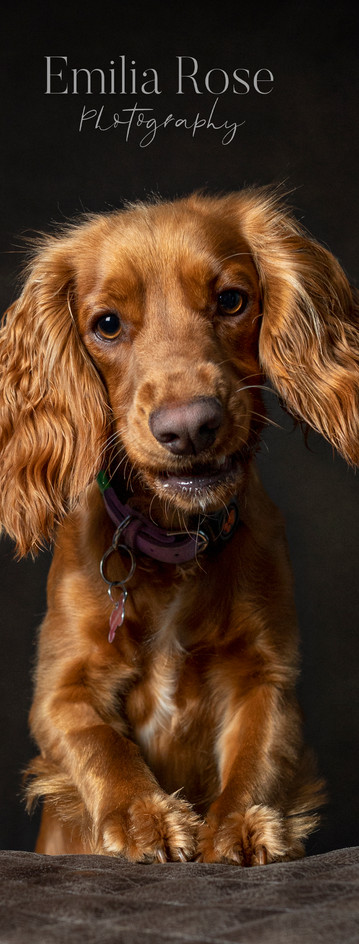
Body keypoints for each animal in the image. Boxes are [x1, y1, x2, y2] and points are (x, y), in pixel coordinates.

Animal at [1, 190, 358, 864]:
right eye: (107, 324)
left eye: (232, 300)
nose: (190, 426)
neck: (175, 545)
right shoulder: (60, 687)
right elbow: (100, 744)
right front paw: (144, 816)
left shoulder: (266, 676)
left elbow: (257, 753)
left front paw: (238, 823)